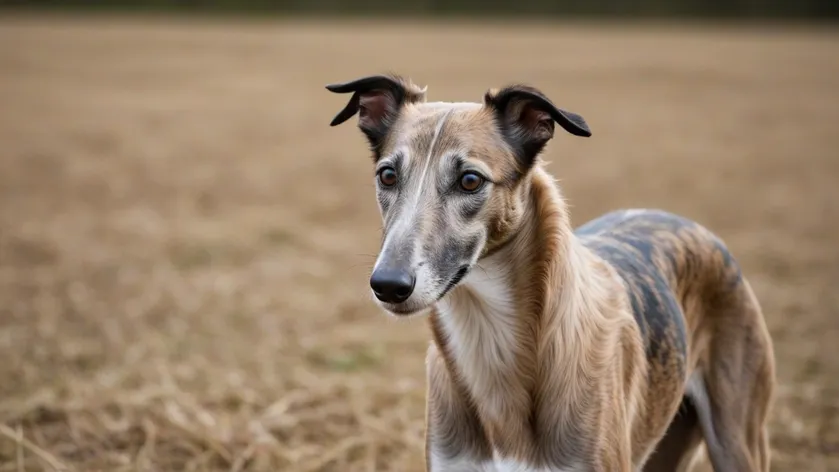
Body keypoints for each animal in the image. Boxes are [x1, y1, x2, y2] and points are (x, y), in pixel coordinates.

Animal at [326, 74, 776, 472]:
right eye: (388, 175)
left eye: (470, 180)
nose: (388, 286)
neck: (493, 343)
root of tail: (686, 222)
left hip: (738, 441)